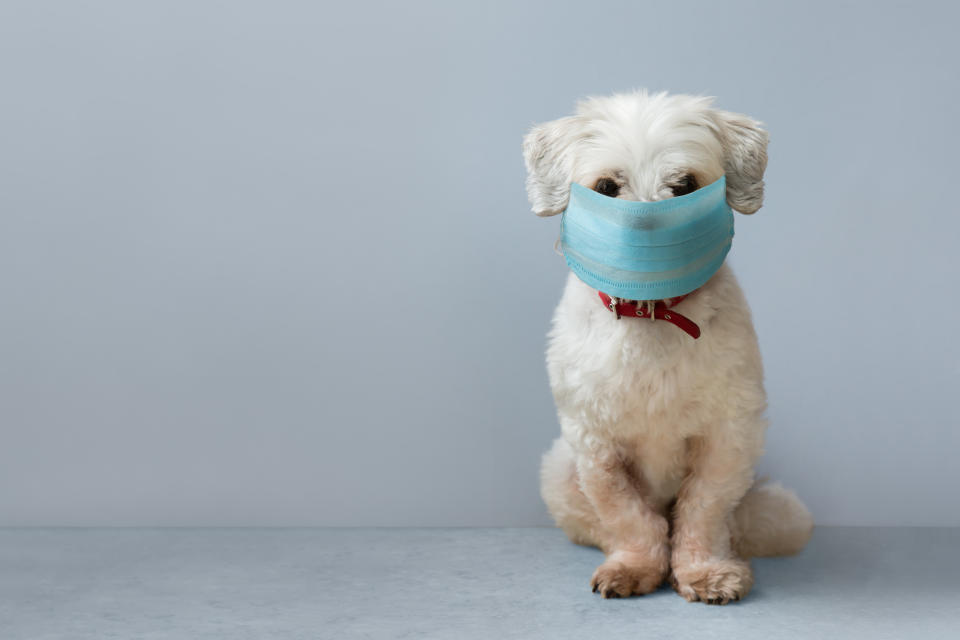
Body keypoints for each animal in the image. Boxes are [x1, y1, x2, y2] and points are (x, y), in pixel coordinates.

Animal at [524, 91, 808, 604]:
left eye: (685, 186)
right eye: (606, 187)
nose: (647, 230)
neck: (651, 314)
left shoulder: (728, 436)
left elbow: (703, 509)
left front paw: (705, 571)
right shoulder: (594, 442)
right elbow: (627, 514)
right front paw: (635, 566)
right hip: (558, 471)